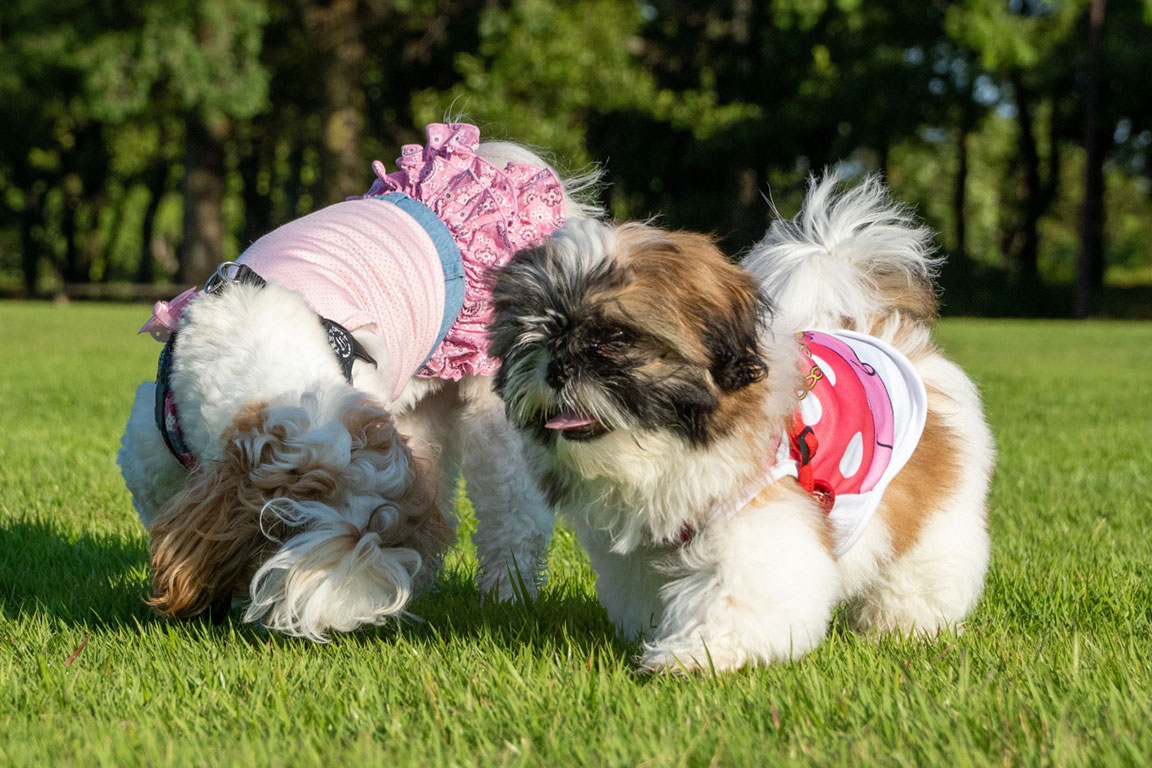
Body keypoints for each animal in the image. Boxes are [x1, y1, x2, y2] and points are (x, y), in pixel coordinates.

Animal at [121, 124, 599, 644]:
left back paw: (506, 593)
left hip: (493, 419)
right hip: (419, 417)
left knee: (513, 515)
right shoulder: (151, 451)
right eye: (278, 528)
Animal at [490, 176, 995, 672]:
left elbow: (734, 593)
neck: (667, 448)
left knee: (925, 560)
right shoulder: (644, 550)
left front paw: (692, 655)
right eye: (533, 334)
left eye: (615, 336)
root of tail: (883, 329)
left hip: (931, 496)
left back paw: (904, 624)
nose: (557, 368)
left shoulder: (760, 516)